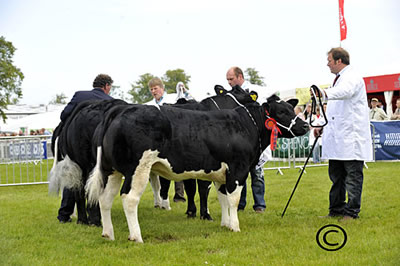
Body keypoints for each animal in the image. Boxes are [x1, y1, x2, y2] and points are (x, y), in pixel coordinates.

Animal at [85, 94, 310, 242]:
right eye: (281, 112)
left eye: (291, 109)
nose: (306, 126)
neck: (246, 125)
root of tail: (121, 109)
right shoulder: (238, 169)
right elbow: (233, 199)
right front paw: (235, 227)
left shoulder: (223, 173)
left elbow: (223, 198)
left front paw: (225, 224)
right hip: (137, 169)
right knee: (129, 198)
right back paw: (136, 236)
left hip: (112, 170)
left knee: (105, 198)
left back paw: (108, 234)